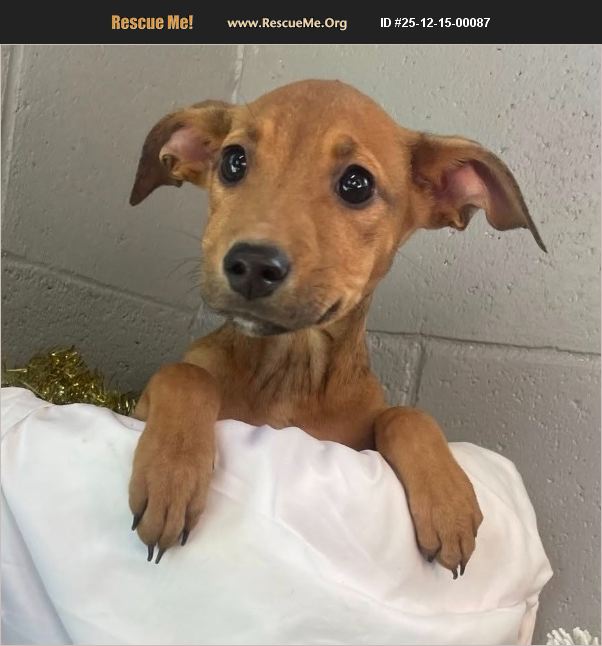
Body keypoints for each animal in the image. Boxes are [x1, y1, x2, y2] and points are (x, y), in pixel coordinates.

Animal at [128, 79, 545, 575]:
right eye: (233, 161)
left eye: (356, 184)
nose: (252, 265)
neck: (290, 374)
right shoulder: (137, 407)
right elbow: (186, 373)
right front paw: (170, 473)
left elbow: (405, 414)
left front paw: (448, 501)